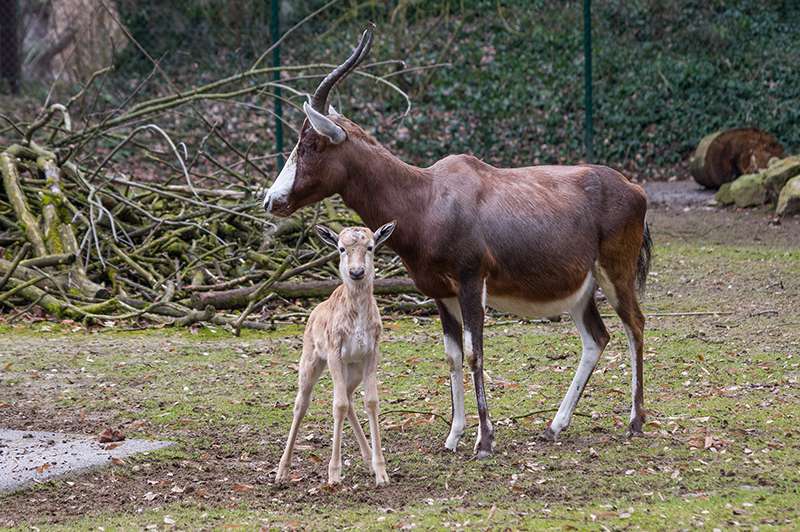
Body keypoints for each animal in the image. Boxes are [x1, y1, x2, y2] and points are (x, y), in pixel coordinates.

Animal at [276, 220, 398, 486]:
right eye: (341, 248)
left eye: (370, 246)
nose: (356, 272)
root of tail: (313, 312)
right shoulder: (334, 351)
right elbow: (338, 405)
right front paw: (333, 474)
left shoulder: (372, 352)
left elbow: (371, 402)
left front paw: (382, 473)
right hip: (311, 359)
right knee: (302, 403)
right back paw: (282, 471)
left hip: (353, 368)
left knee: (351, 398)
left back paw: (368, 459)